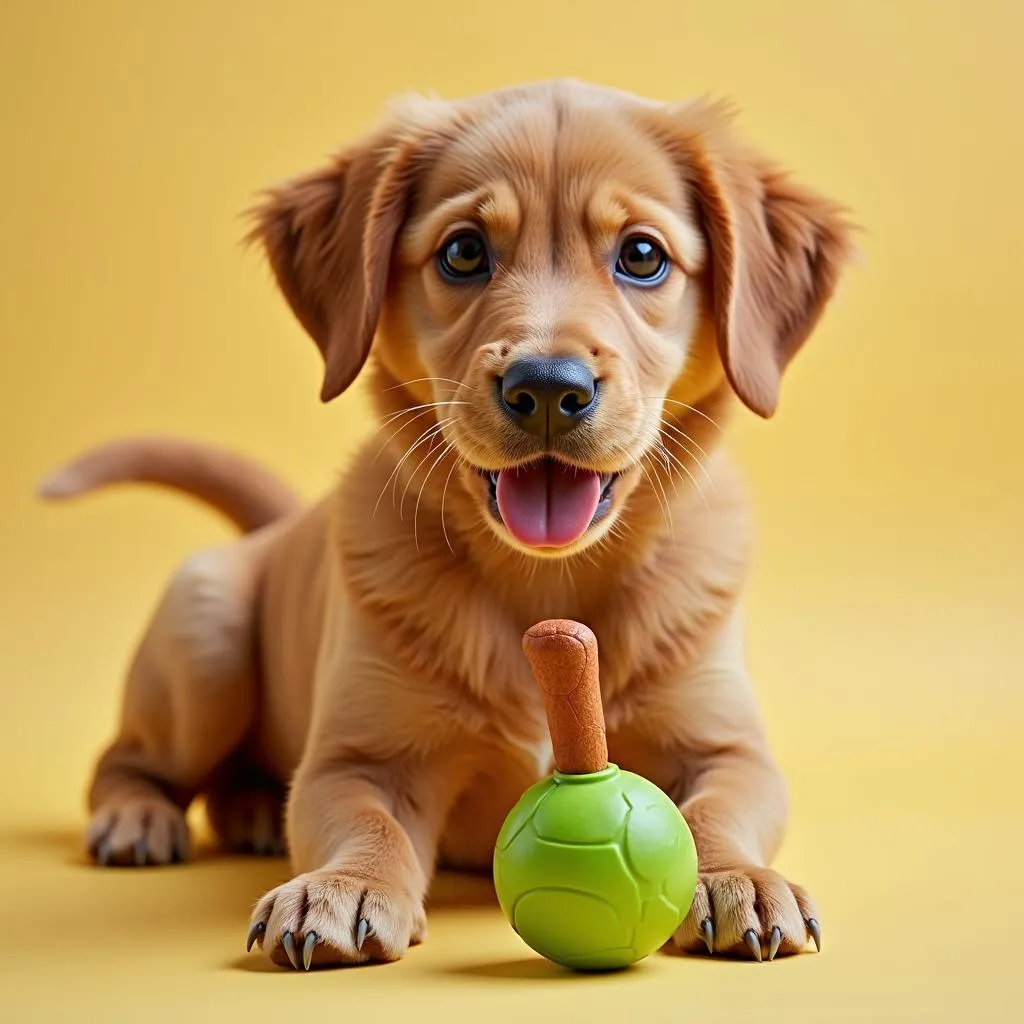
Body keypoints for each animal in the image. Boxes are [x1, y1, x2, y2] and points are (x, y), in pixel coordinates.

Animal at [41, 79, 856, 966]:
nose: (547, 387)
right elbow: (368, 824)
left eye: (642, 256)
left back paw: (253, 808)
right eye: (463, 252)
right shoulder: (360, 759)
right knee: (124, 759)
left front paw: (740, 876)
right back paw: (139, 816)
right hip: (204, 646)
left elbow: (718, 809)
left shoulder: (726, 746)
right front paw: (343, 887)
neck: (546, 578)